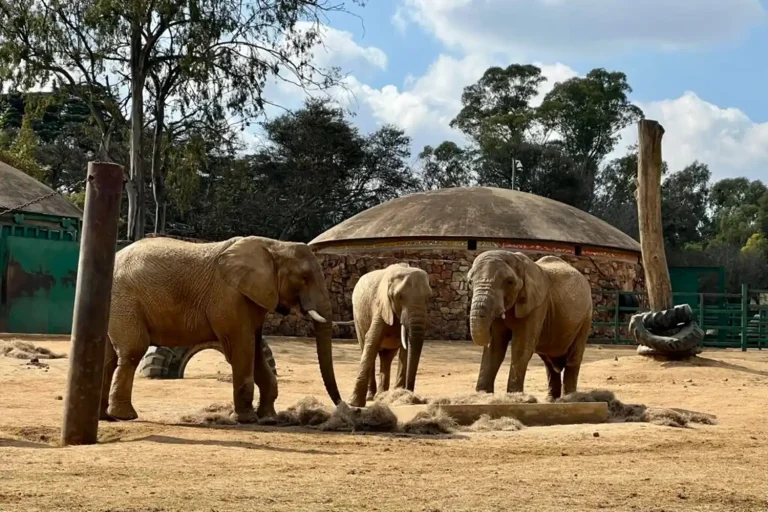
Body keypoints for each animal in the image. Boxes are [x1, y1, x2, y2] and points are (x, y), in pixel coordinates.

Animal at [101, 235, 341, 423]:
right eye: (304, 278)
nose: (343, 407)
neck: (274, 245)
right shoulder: (230, 297)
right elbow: (241, 348)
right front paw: (247, 419)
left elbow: (255, 350)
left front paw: (269, 418)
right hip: (125, 300)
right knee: (132, 350)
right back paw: (125, 416)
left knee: (108, 357)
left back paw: (105, 417)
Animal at [348, 263, 432, 407]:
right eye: (399, 297)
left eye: (428, 298)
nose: (412, 394)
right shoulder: (381, 305)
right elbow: (372, 340)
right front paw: (354, 404)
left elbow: (406, 349)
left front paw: (399, 394)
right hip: (357, 317)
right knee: (366, 347)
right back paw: (371, 397)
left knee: (386, 358)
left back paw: (381, 395)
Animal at [467, 250, 593, 401]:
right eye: (470, 282)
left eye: (509, 282)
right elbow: (495, 348)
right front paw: (482, 396)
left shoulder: (537, 305)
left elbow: (521, 347)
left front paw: (514, 397)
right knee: (549, 364)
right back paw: (551, 399)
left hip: (586, 317)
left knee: (573, 357)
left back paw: (569, 399)